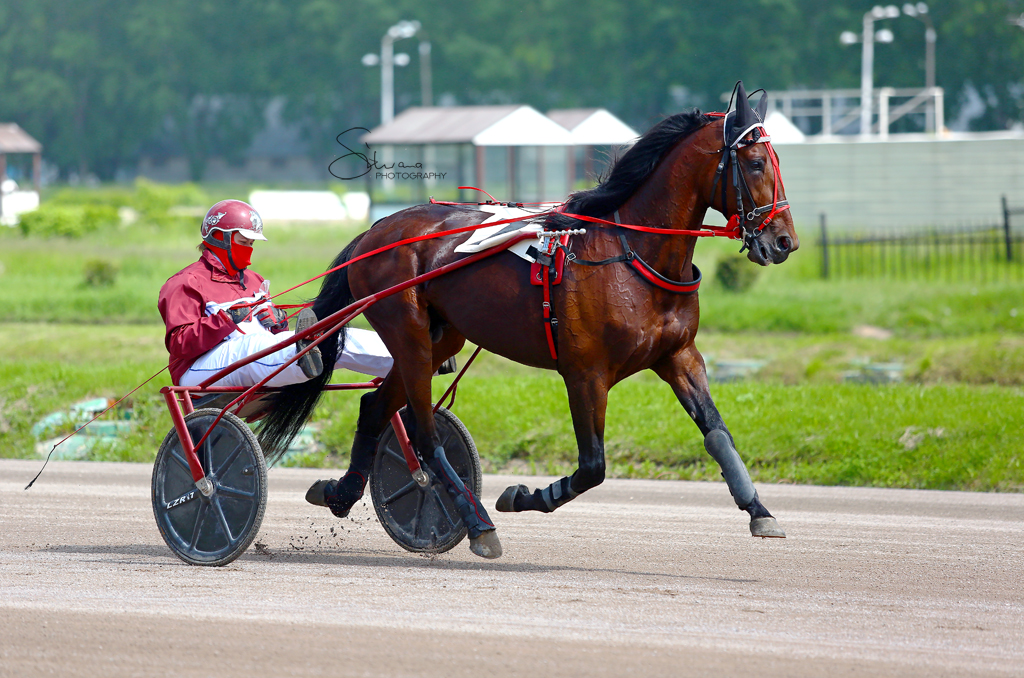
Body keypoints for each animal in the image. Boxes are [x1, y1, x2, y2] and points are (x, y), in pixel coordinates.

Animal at [262, 82, 798, 561]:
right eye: (754, 163)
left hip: (439, 339)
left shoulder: (679, 356)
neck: (632, 254)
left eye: (778, 163)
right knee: (425, 434)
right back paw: (478, 524)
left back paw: (341, 493)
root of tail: (376, 230)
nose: (784, 241)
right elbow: (592, 467)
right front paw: (522, 496)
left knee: (376, 407)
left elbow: (718, 435)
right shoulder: (585, 373)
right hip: (406, 331)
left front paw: (760, 511)